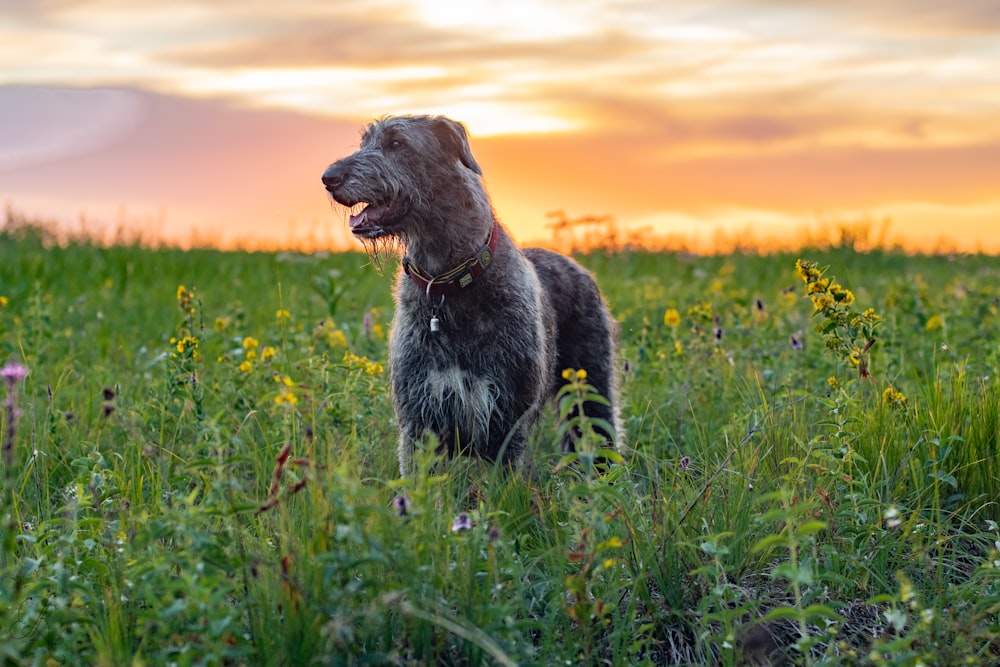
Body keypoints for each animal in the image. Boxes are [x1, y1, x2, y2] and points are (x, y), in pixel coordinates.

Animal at [322, 115, 616, 472]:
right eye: (365, 142)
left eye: (396, 143)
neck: (447, 283)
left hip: (592, 381)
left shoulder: (506, 418)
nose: (329, 177)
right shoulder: (418, 416)